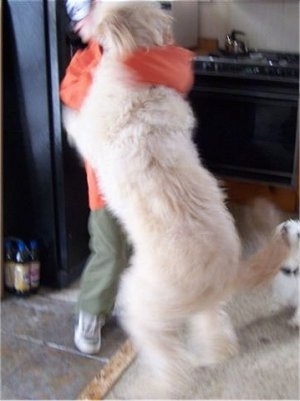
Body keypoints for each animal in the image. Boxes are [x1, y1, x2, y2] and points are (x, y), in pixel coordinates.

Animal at [62, 0, 298, 388]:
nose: (73, 15)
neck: (140, 60)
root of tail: (223, 271)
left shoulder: (92, 132)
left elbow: (76, 123)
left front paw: (65, 111)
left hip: (141, 302)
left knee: (169, 357)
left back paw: (165, 381)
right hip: (205, 307)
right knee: (216, 332)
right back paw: (213, 356)